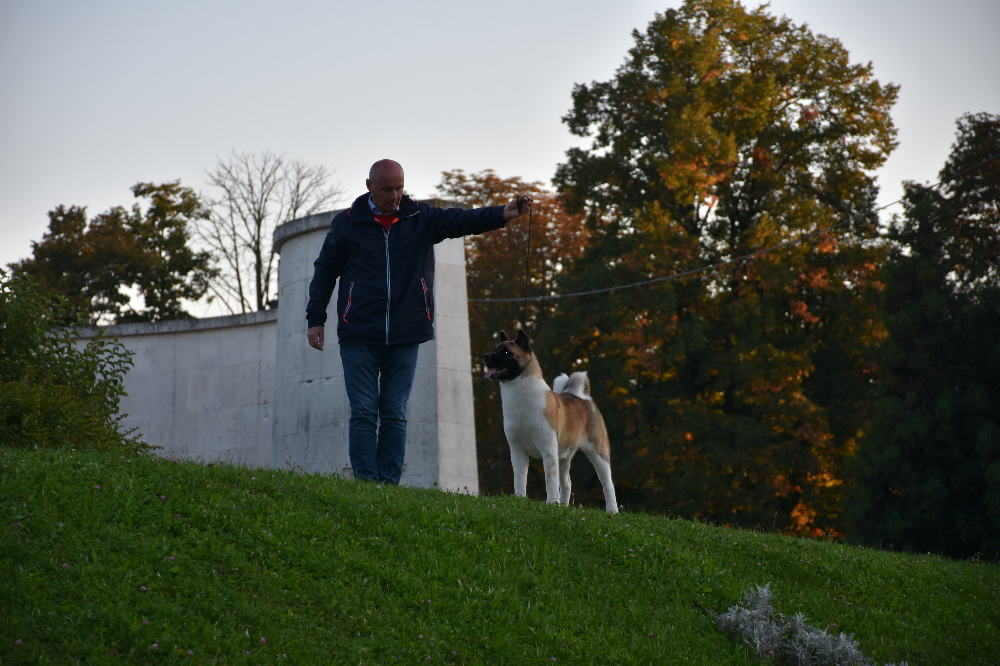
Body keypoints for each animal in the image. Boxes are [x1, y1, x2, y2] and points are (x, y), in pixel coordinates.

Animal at [482, 329, 618, 513]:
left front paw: (551, 503)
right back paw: (564, 506)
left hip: (598, 452)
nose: (485, 356)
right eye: (495, 349)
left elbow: (550, 480)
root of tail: (585, 398)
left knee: (608, 484)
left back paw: (612, 511)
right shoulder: (517, 450)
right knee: (567, 484)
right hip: (564, 456)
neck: (521, 397)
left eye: (506, 353)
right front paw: (519, 498)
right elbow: (520, 478)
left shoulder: (548, 449)